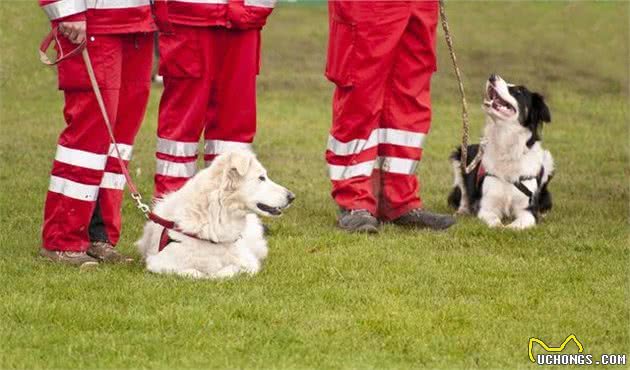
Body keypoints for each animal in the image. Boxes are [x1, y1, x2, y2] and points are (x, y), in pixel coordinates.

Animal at [137, 150, 296, 278]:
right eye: (261, 178)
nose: (292, 197)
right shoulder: (159, 262)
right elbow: (193, 272)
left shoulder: (249, 263)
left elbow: (227, 271)